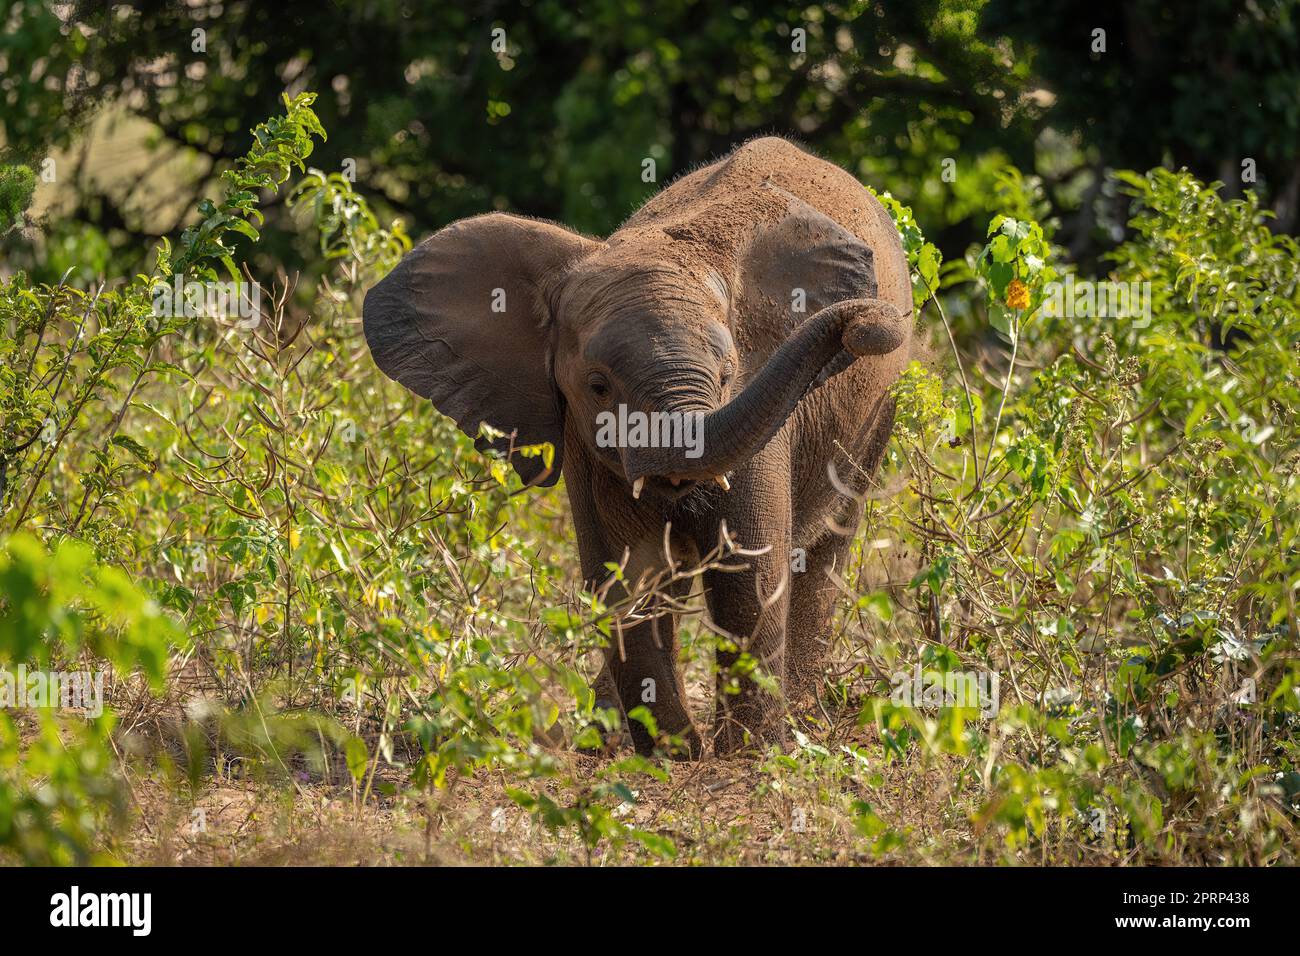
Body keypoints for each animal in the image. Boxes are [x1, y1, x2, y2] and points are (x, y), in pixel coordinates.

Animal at [363, 137, 912, 758]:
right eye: (598, 386)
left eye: (727, 373)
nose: (869, 326)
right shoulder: (583, 438)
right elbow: (630, 576)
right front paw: (675, 756)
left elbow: (748, 571)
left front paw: (750, 756)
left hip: (877, 415)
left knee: (828, 545)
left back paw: (803, 722)